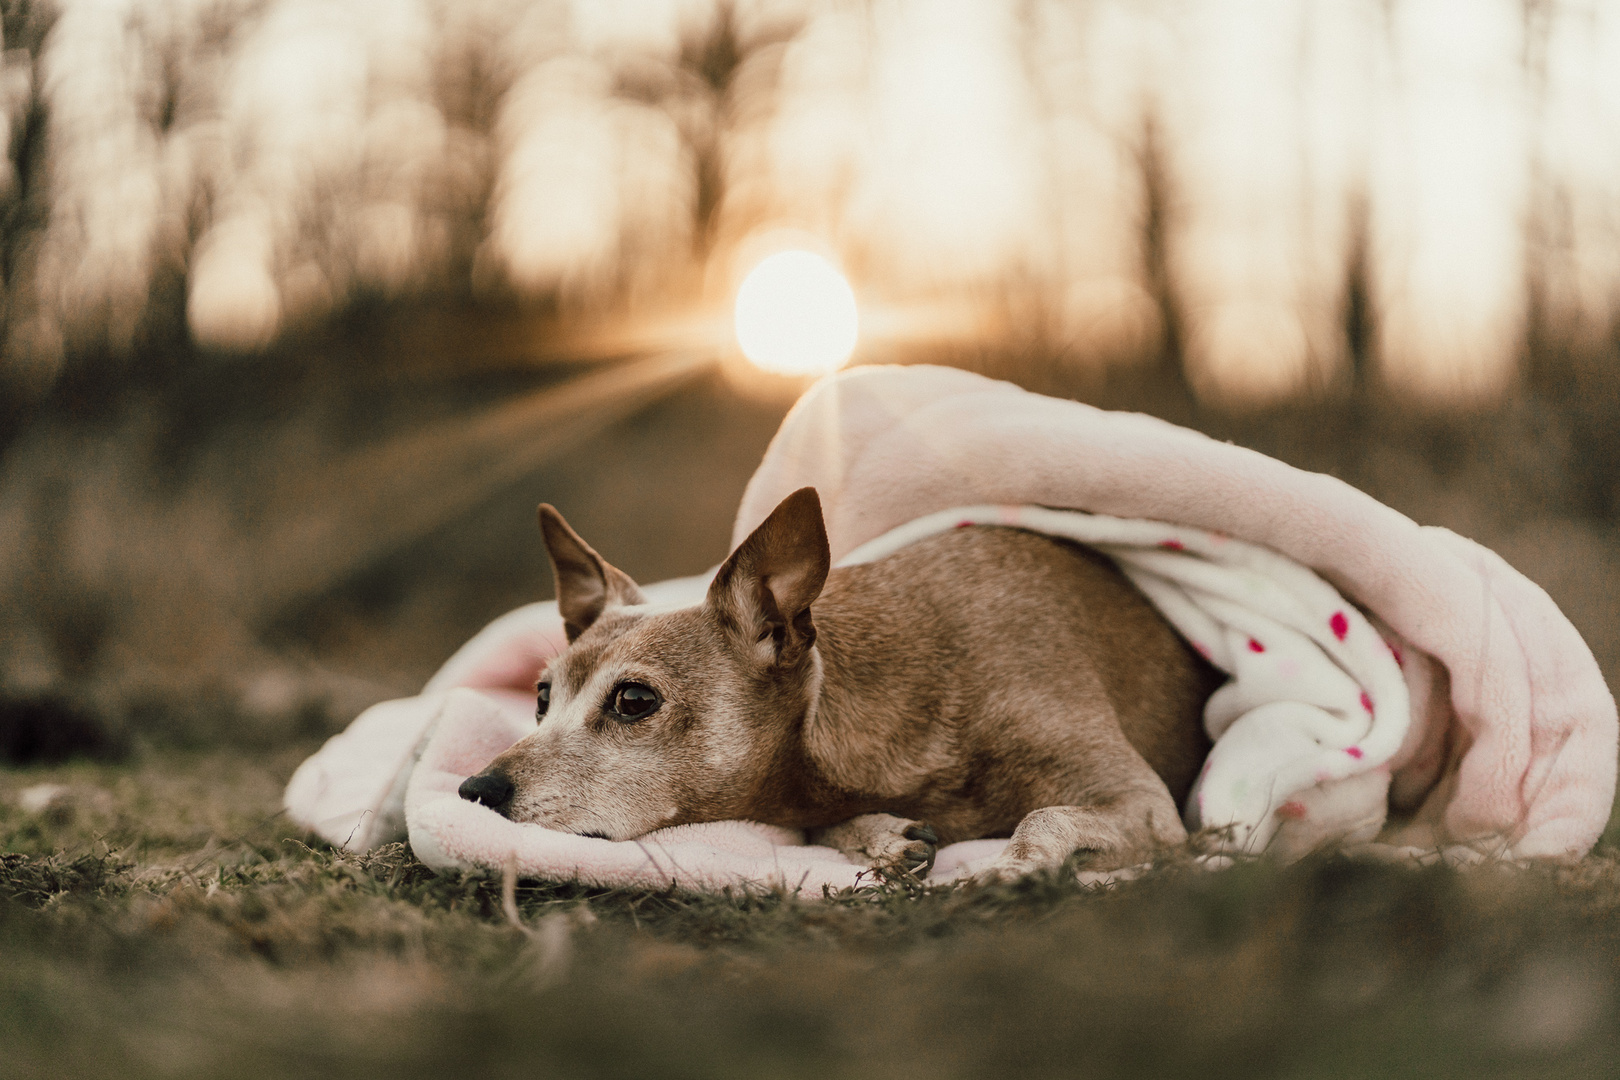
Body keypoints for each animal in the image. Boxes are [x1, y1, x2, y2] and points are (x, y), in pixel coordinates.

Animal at [456, 488, 1218, 880]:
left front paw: (1011, 866)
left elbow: (1045, 815)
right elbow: (827, 824)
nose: (474, 790)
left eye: (634, 701)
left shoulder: (1148, 807)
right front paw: (881, 835)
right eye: (541, 698)